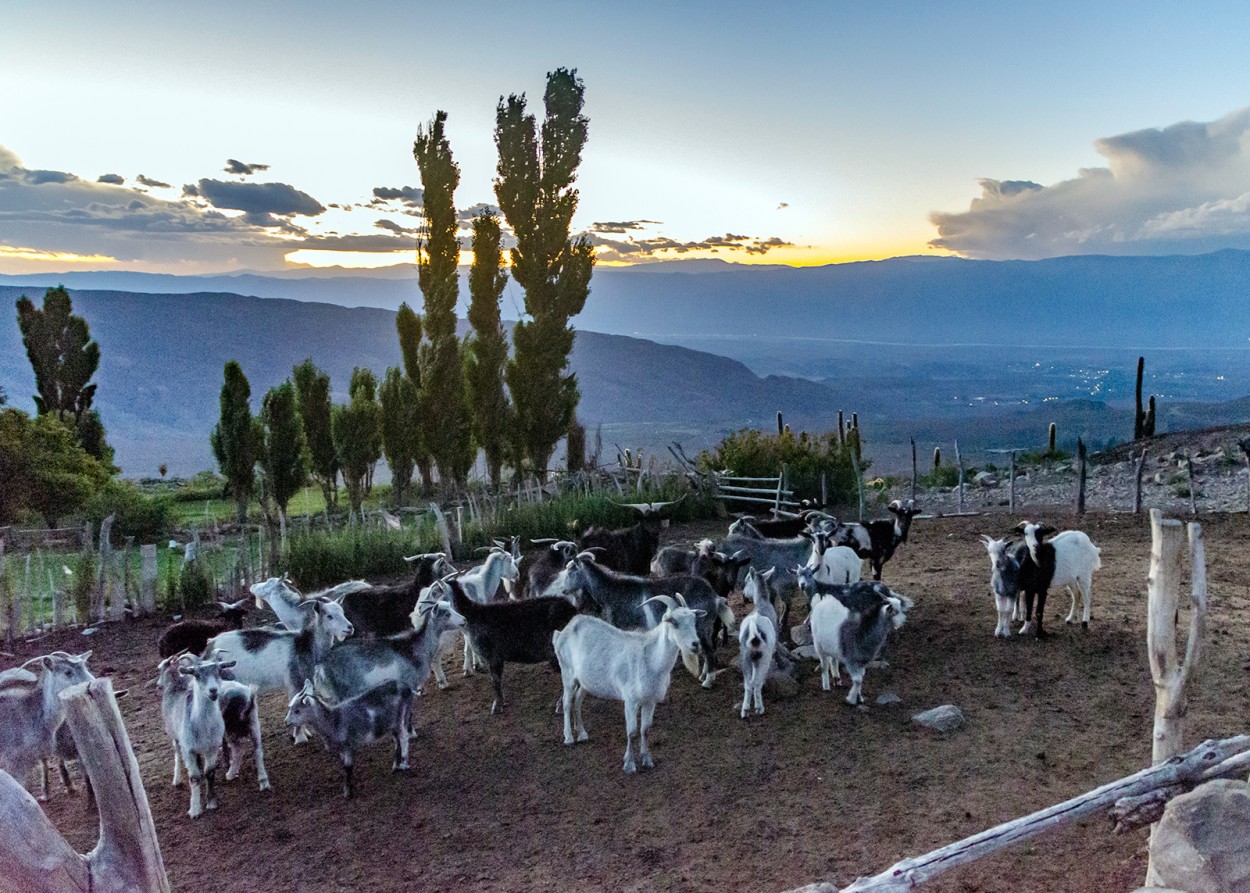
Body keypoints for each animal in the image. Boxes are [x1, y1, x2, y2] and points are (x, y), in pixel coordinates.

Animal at [447, 572, 577, 715]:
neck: (471, 616)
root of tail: (574, 612)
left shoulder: (493, 656)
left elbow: (496, 681)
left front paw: (497, 706)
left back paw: (561, 706)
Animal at [555, 590, 705, 770]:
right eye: (673, 621)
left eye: (694, 619)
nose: (695, 644)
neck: (651, 661)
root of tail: (566, 629)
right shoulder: (630, 699)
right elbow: (632, 731)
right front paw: (629, 764)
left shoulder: (650, 700)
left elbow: (645, 729)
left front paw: (647, 760)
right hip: (567, 672)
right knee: (567, 702)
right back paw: (569, 738)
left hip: (585, 681)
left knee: (577, 700)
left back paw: (583, 734)